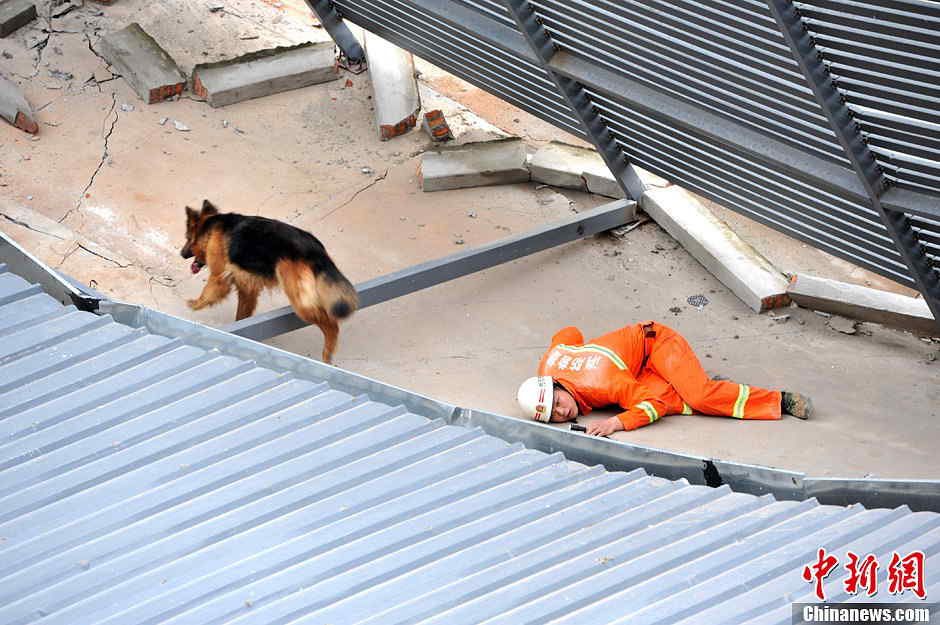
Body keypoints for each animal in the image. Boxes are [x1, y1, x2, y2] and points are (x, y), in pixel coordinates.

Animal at [181, 201, 360, 360]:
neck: (211, 227)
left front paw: (193, 304)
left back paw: (327, 353)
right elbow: (242, 315)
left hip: (300, 303)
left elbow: (207, 294)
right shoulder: (247, 288)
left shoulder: (219, 276)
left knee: (332, 324)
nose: (181, 254)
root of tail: (313, 250)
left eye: (188, 238)